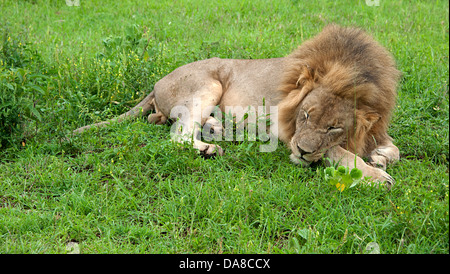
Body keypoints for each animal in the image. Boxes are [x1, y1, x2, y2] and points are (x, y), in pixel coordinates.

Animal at [74, 25, 400, 186]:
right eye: (305, 115)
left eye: (334, 127)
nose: (302, 152)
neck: (352, 72)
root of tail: (155, 84)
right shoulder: (286, 129)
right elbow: (339, 153)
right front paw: (376, 176)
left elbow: (391, 147)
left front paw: (381, 156)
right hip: (208, 83)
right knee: (177, 135)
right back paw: (209, 147)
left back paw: (216, 128)